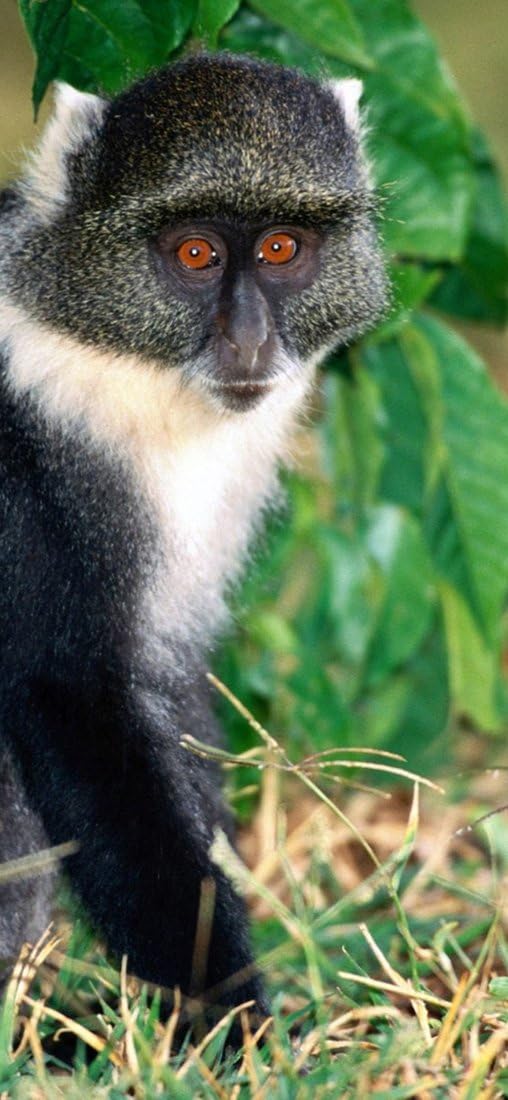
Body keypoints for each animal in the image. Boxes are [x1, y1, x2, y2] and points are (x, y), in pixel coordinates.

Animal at [0, 53, 387, 1026]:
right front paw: (235, 1023)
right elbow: (72, 701)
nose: (247, 336)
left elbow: (168, 690)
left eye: (281, 249)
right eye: (196, 254)